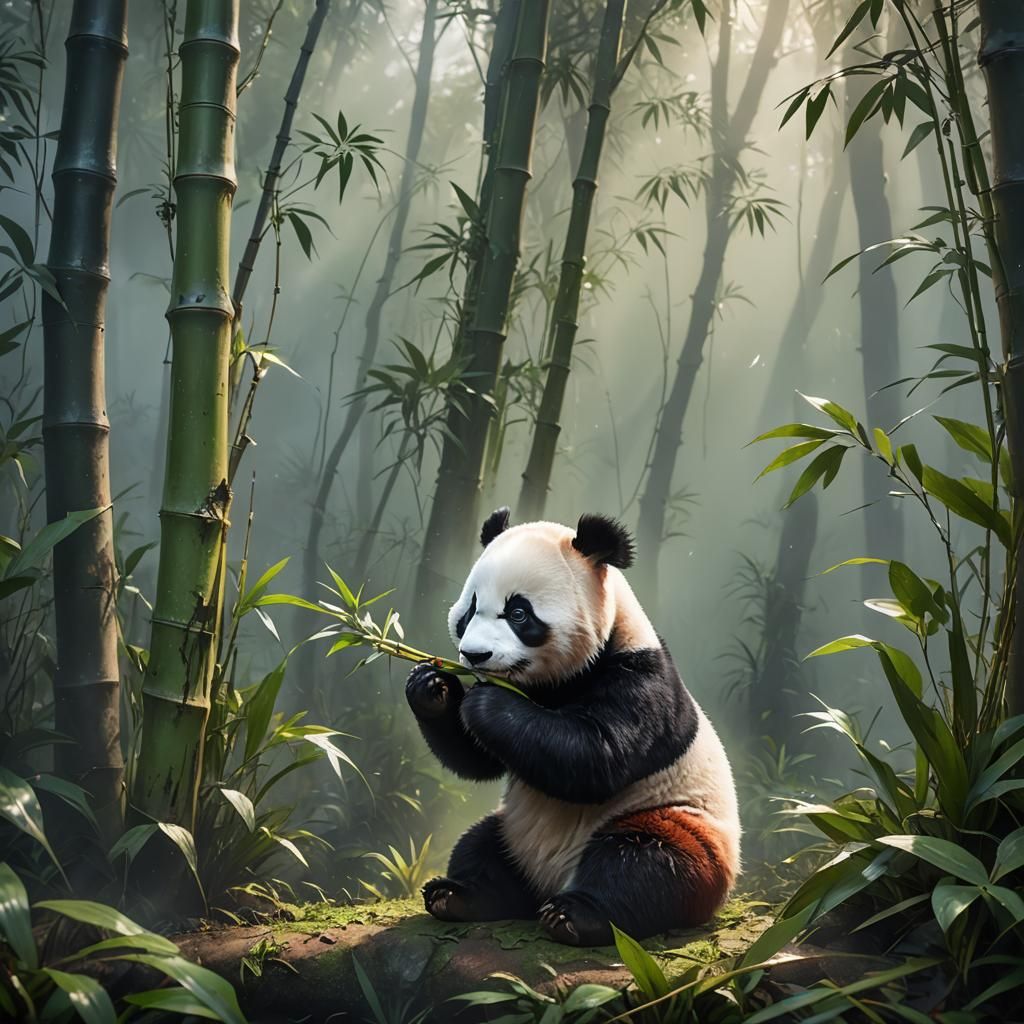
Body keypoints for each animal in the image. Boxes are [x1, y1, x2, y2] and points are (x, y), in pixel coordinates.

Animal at [404, 507, 740, 946]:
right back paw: (458, 895)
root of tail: (550, 882)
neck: (555, 682)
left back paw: (576, 916)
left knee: (645, 863)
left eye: (518, 613)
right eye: (470, 610)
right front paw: (431, 686)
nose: (475, 655)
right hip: (514, 827)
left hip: (673, 820)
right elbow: (479, 759)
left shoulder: (639, 677)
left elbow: (597, 756)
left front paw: (490, 704)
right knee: (479, 846)